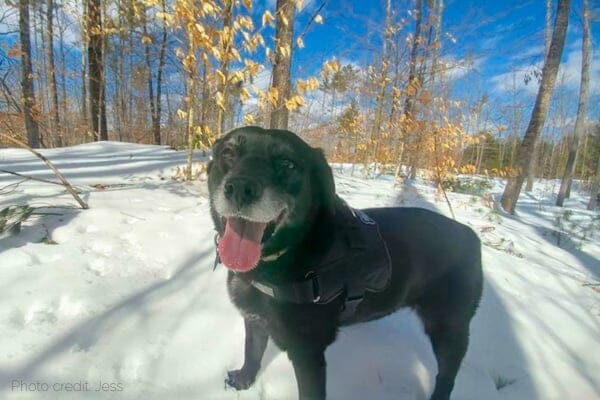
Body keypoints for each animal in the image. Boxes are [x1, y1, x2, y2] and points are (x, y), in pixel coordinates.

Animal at [206, 126, 482, 400]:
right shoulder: (255, 319)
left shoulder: (307, 353)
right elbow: (252, 351)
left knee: (447, 376)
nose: (240, 187)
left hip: (449, 328)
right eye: (228, 152)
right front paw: (244, 379)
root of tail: (470, 235)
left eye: (287, 163)